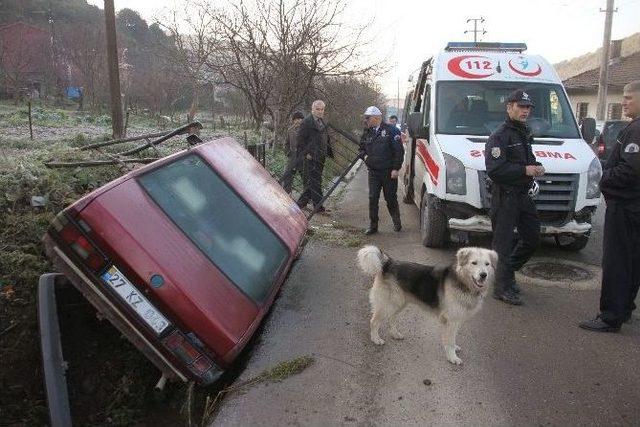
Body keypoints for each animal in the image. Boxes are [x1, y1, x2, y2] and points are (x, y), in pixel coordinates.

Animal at [358, 246, 498, 366]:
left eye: (487, 264)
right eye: (474, 263)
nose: (483, 275)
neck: (462, 282)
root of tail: (389, 263)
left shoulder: (457, 319)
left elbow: (453, 338)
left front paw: (454, 349)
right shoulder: (451, 320)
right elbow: (450, 340)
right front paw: (452, 357)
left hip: (398, 303)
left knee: (391, 318)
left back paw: (395, 334)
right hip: (389, 304)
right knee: (374, 321)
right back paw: (376, 339)